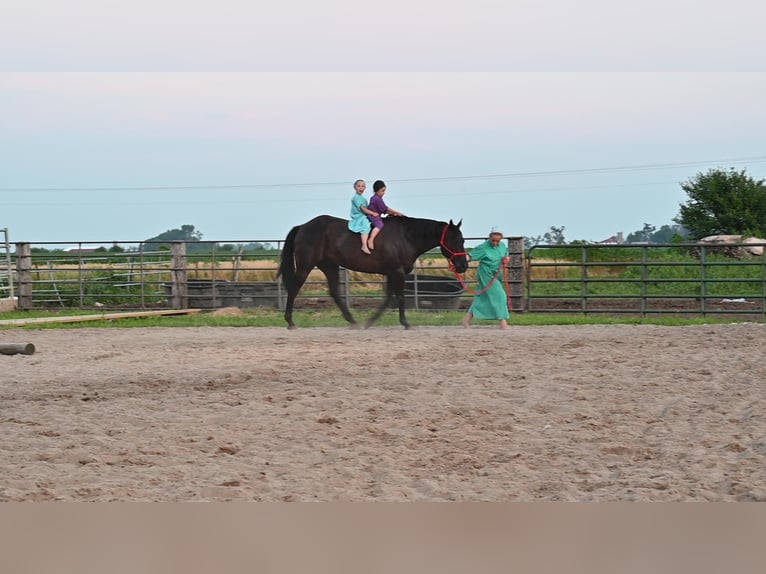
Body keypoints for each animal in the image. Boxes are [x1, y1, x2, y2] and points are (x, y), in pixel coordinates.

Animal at [278, 216, 468, 330]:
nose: (463, 265)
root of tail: (302, 227)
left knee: (334, 293)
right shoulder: (397, 272)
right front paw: (405, 323)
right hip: (305, 266)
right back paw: (290, 321)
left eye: (463, 240)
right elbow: (399, 297)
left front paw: (370, 321)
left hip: (330, 266)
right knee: (294, 289)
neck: (405, 237)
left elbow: (388, 299)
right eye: (454, 240)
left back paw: (353, 321)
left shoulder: (391, 273)